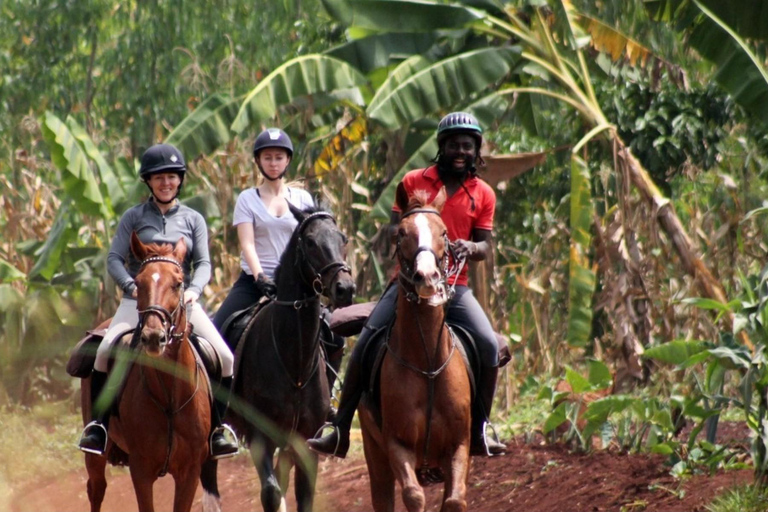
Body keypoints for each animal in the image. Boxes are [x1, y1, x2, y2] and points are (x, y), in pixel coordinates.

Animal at [81, 232, 218, 512]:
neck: (170, 400)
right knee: (96, 488)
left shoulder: (190, 472)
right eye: (138, 283)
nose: (153, 337)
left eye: (178, 283)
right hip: (96, 455)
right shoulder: (141, 471)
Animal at [356, 191, 472, 512]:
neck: (427, 364)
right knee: (383, 496)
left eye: (444, 233)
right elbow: (413, 495)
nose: (427, 277)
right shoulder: (397, 444)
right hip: (375, 454)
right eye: (402, 233)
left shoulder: (459, 444)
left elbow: (455, 500)